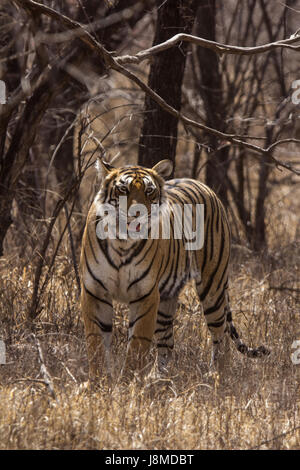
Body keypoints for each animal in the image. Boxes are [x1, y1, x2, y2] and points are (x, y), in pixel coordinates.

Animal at [79, 158, 270, 382]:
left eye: (149, 191)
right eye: (123, 189)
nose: (138, 214)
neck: (121, 242)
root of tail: (204, 185)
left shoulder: (145, 295)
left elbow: (137, 344)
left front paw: (128, 381)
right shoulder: (95, 291)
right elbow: (95, 342)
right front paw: (98, 381)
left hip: (212, 286)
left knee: (220, 332)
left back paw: (217, 375)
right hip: (166, 299)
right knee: (167, 342)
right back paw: (157, 378)